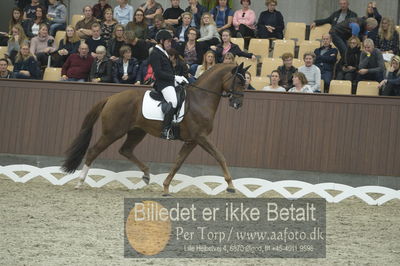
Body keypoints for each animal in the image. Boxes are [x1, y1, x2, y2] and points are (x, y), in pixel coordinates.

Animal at [61, 62, 250, 195]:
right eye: (239, 81)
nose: (238, 104)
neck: (200, 99)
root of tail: (111, 98)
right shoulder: (200, 137)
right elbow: (220, 157)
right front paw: (231, 186)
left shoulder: (192, 141)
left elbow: (178, 163)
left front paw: (165, 188)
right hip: (112, 132)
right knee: (93, 151)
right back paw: (80, 182)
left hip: (137, 132)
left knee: (125, 150)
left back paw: (146, 174)